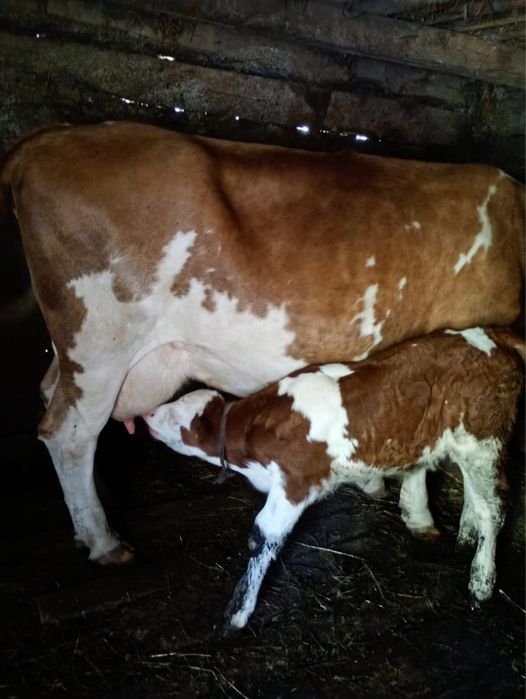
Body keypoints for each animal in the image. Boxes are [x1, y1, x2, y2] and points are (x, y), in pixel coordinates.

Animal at [1, 122, 523, 564]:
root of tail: (46, 140)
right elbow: (430, 453)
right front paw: (428, 518)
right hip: (100, 342)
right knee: (69, 434)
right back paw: (103, 540)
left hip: (87, 353)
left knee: (53, 395)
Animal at [144, 327, 524, 632]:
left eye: (176, 413)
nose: (147, 413)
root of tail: (491, 335)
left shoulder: (295, 482)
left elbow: (263, 536)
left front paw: (236, 614)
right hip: (468, 446)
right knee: (476, 495)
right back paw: (465, 538)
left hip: (483, 441)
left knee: (493, 508)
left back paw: (481, 584)